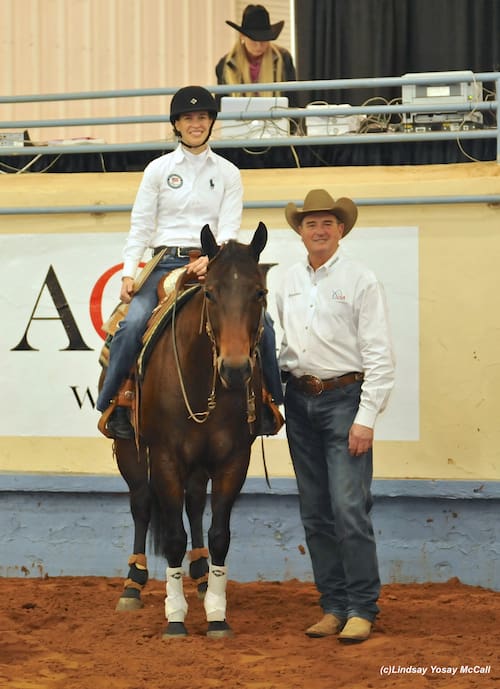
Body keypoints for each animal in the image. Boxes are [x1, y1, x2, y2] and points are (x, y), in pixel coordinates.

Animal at [110, 222, 268, 639]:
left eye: (259, 292)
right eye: (210, 292)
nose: (235, 368)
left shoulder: (234, 459)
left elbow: (219, 534)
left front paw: (216, 613)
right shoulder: (165, 457)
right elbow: (172, 536)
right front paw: (175, 617)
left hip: (198, 461)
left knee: (195, 502)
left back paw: (199, 574)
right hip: (130, 450)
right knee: (141, 503)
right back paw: (133, 583)